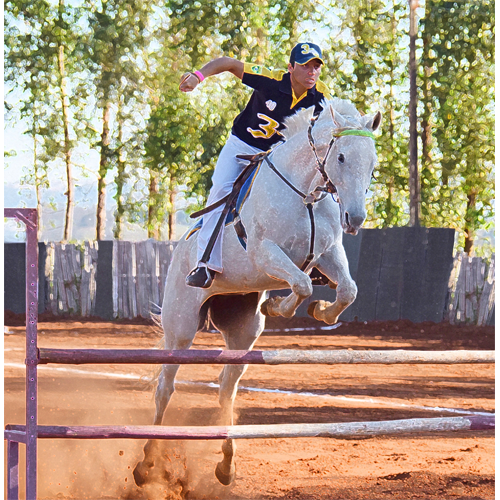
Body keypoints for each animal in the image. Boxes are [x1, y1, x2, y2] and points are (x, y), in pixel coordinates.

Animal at [134, 97, 382, 488]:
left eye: (372, 163)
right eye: (341, 157)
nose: (355, 219)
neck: (305, 192)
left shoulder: (327, 253)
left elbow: (347, 290)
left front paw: (318, 312)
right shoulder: (265, 253)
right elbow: (302, 284)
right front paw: (280, 307)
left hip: (242, 334)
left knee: (226, 390)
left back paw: (226, 465)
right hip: (180, 327)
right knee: (165, 388)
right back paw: (146, 465)